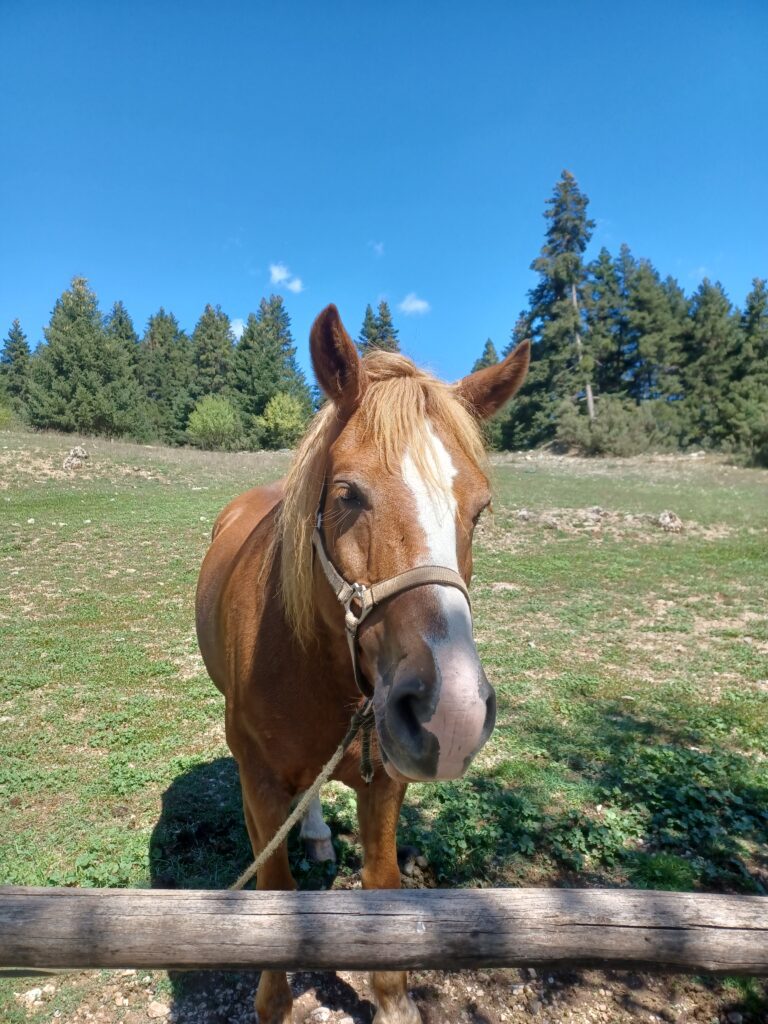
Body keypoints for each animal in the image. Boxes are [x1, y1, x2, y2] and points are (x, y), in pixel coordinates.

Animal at [196, 304, 530, 1024]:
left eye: (480, 508)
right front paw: (274, 1001)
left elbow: (384, 890)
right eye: (347, 493)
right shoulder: (259, 780)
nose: (451, 713)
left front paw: (393, 1000)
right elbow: (273, 889)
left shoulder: (386, 785)